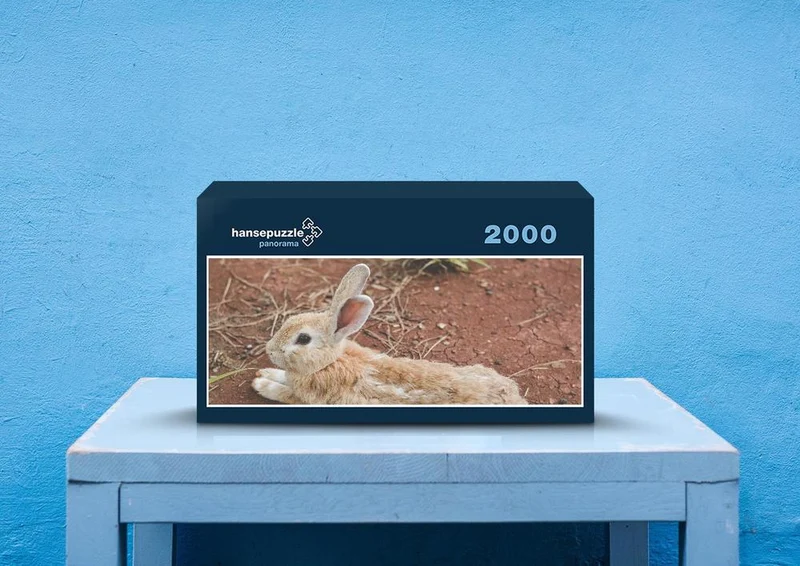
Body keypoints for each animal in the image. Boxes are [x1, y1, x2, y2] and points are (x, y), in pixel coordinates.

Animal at [252, 263, 528, 405]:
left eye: (303, 339)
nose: (269, 350)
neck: (328, 362)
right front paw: (265, 373)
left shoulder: (307, 399)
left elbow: (283, 392)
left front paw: (261, 384)